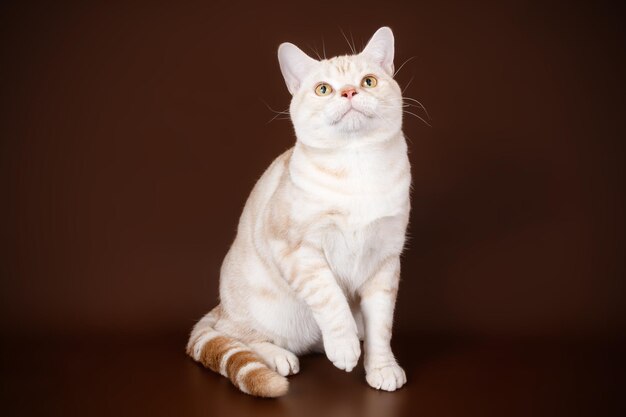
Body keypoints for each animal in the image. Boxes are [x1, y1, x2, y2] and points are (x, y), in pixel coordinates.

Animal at [185, 26, 410, 396]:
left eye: (368, 81)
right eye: (323, 89)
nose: (349, 92)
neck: (357, 165)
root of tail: (221, 307)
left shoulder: (385, 261)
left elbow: (382, 327)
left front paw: (381, 368)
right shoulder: (298, 251)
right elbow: (332, 300)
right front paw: (344, 347)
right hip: (262, 307)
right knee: (237, 336)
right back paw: (280, 358)